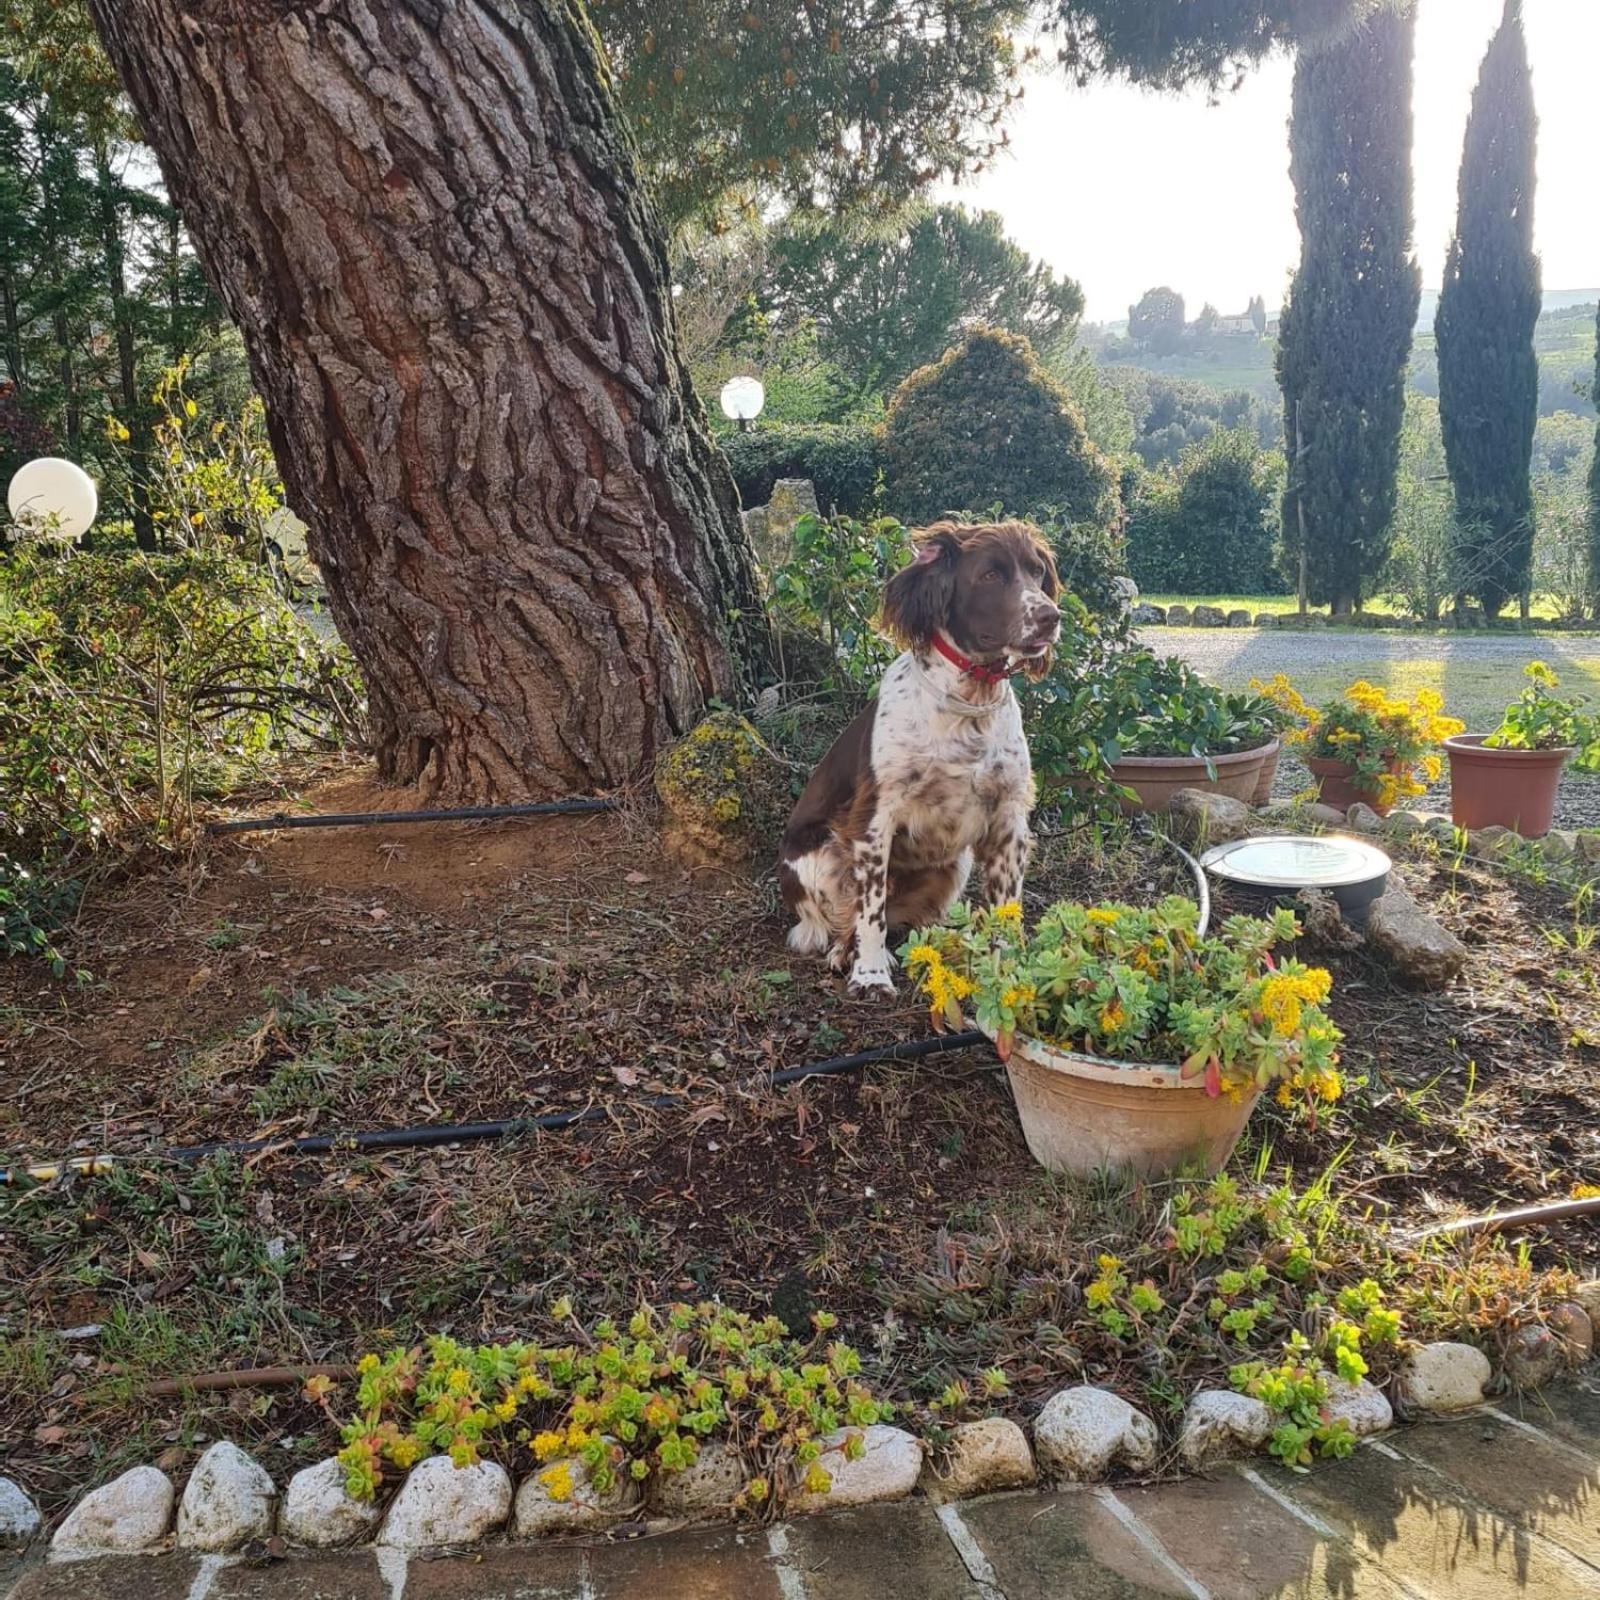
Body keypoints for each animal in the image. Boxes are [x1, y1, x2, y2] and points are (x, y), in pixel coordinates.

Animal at [777, 524, 1062, 992]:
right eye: (990, 576)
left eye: (1037, 571)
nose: (1050, 616)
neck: (968, 703)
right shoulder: (874, 818)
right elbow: (869, 911)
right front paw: (871, 975)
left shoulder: (1008, 819)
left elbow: (1006, 910)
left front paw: (1006, 977)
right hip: (818, 855)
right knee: (841, 921)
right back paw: (845, 951)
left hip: (955, 864)